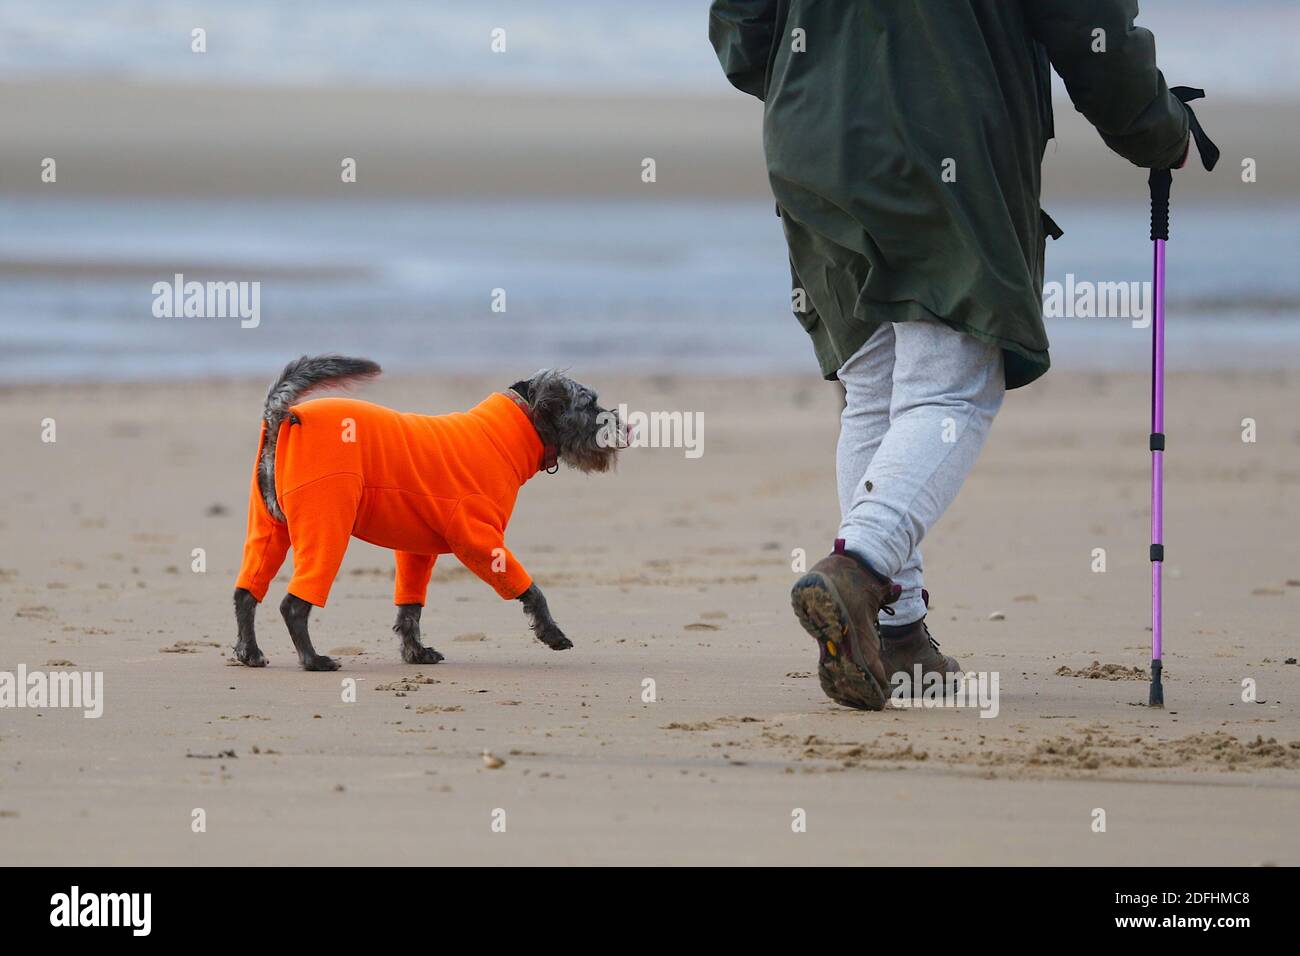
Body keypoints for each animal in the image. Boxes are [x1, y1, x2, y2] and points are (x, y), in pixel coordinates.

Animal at [230, 353, 624, 671]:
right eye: (589, 404)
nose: (625, 425)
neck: (512, 430)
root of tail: (283, 416)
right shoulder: (481, 543)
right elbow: (531, 589)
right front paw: (551, 632)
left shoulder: (416, 551)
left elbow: (410, 607)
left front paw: (415, 653)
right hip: (326, 527)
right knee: (294, 605)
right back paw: (313, 660)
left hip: (270, 529)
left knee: (246, 593)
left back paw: (250, 653)